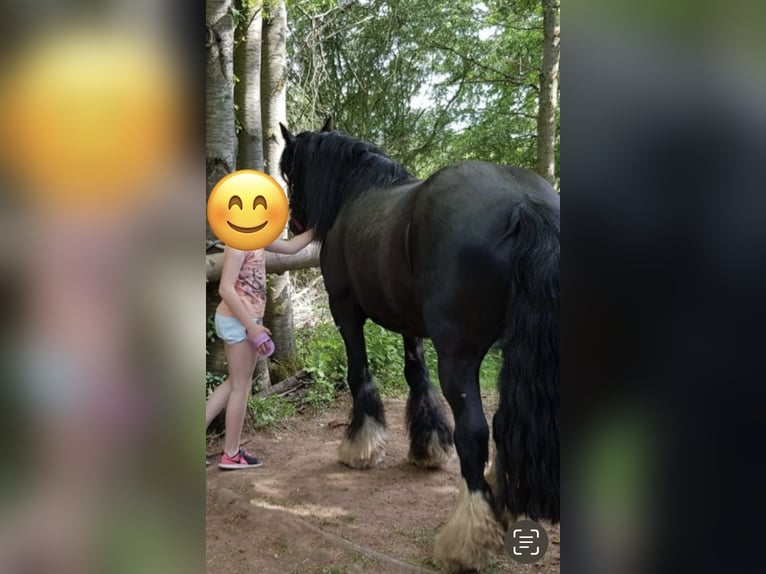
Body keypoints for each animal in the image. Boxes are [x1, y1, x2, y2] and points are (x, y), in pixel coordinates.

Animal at [279, 118, 559, 572]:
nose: (296, 223)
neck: (357, 191)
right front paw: (427, 445)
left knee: (475, 432)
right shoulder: (407, 321)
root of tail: (524, 203)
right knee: (504, 422)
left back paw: (468, 536)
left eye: (288, 169)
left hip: (459, 357)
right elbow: (416, 376)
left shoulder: (346, 313)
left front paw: (360, 445)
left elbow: (359, 375)